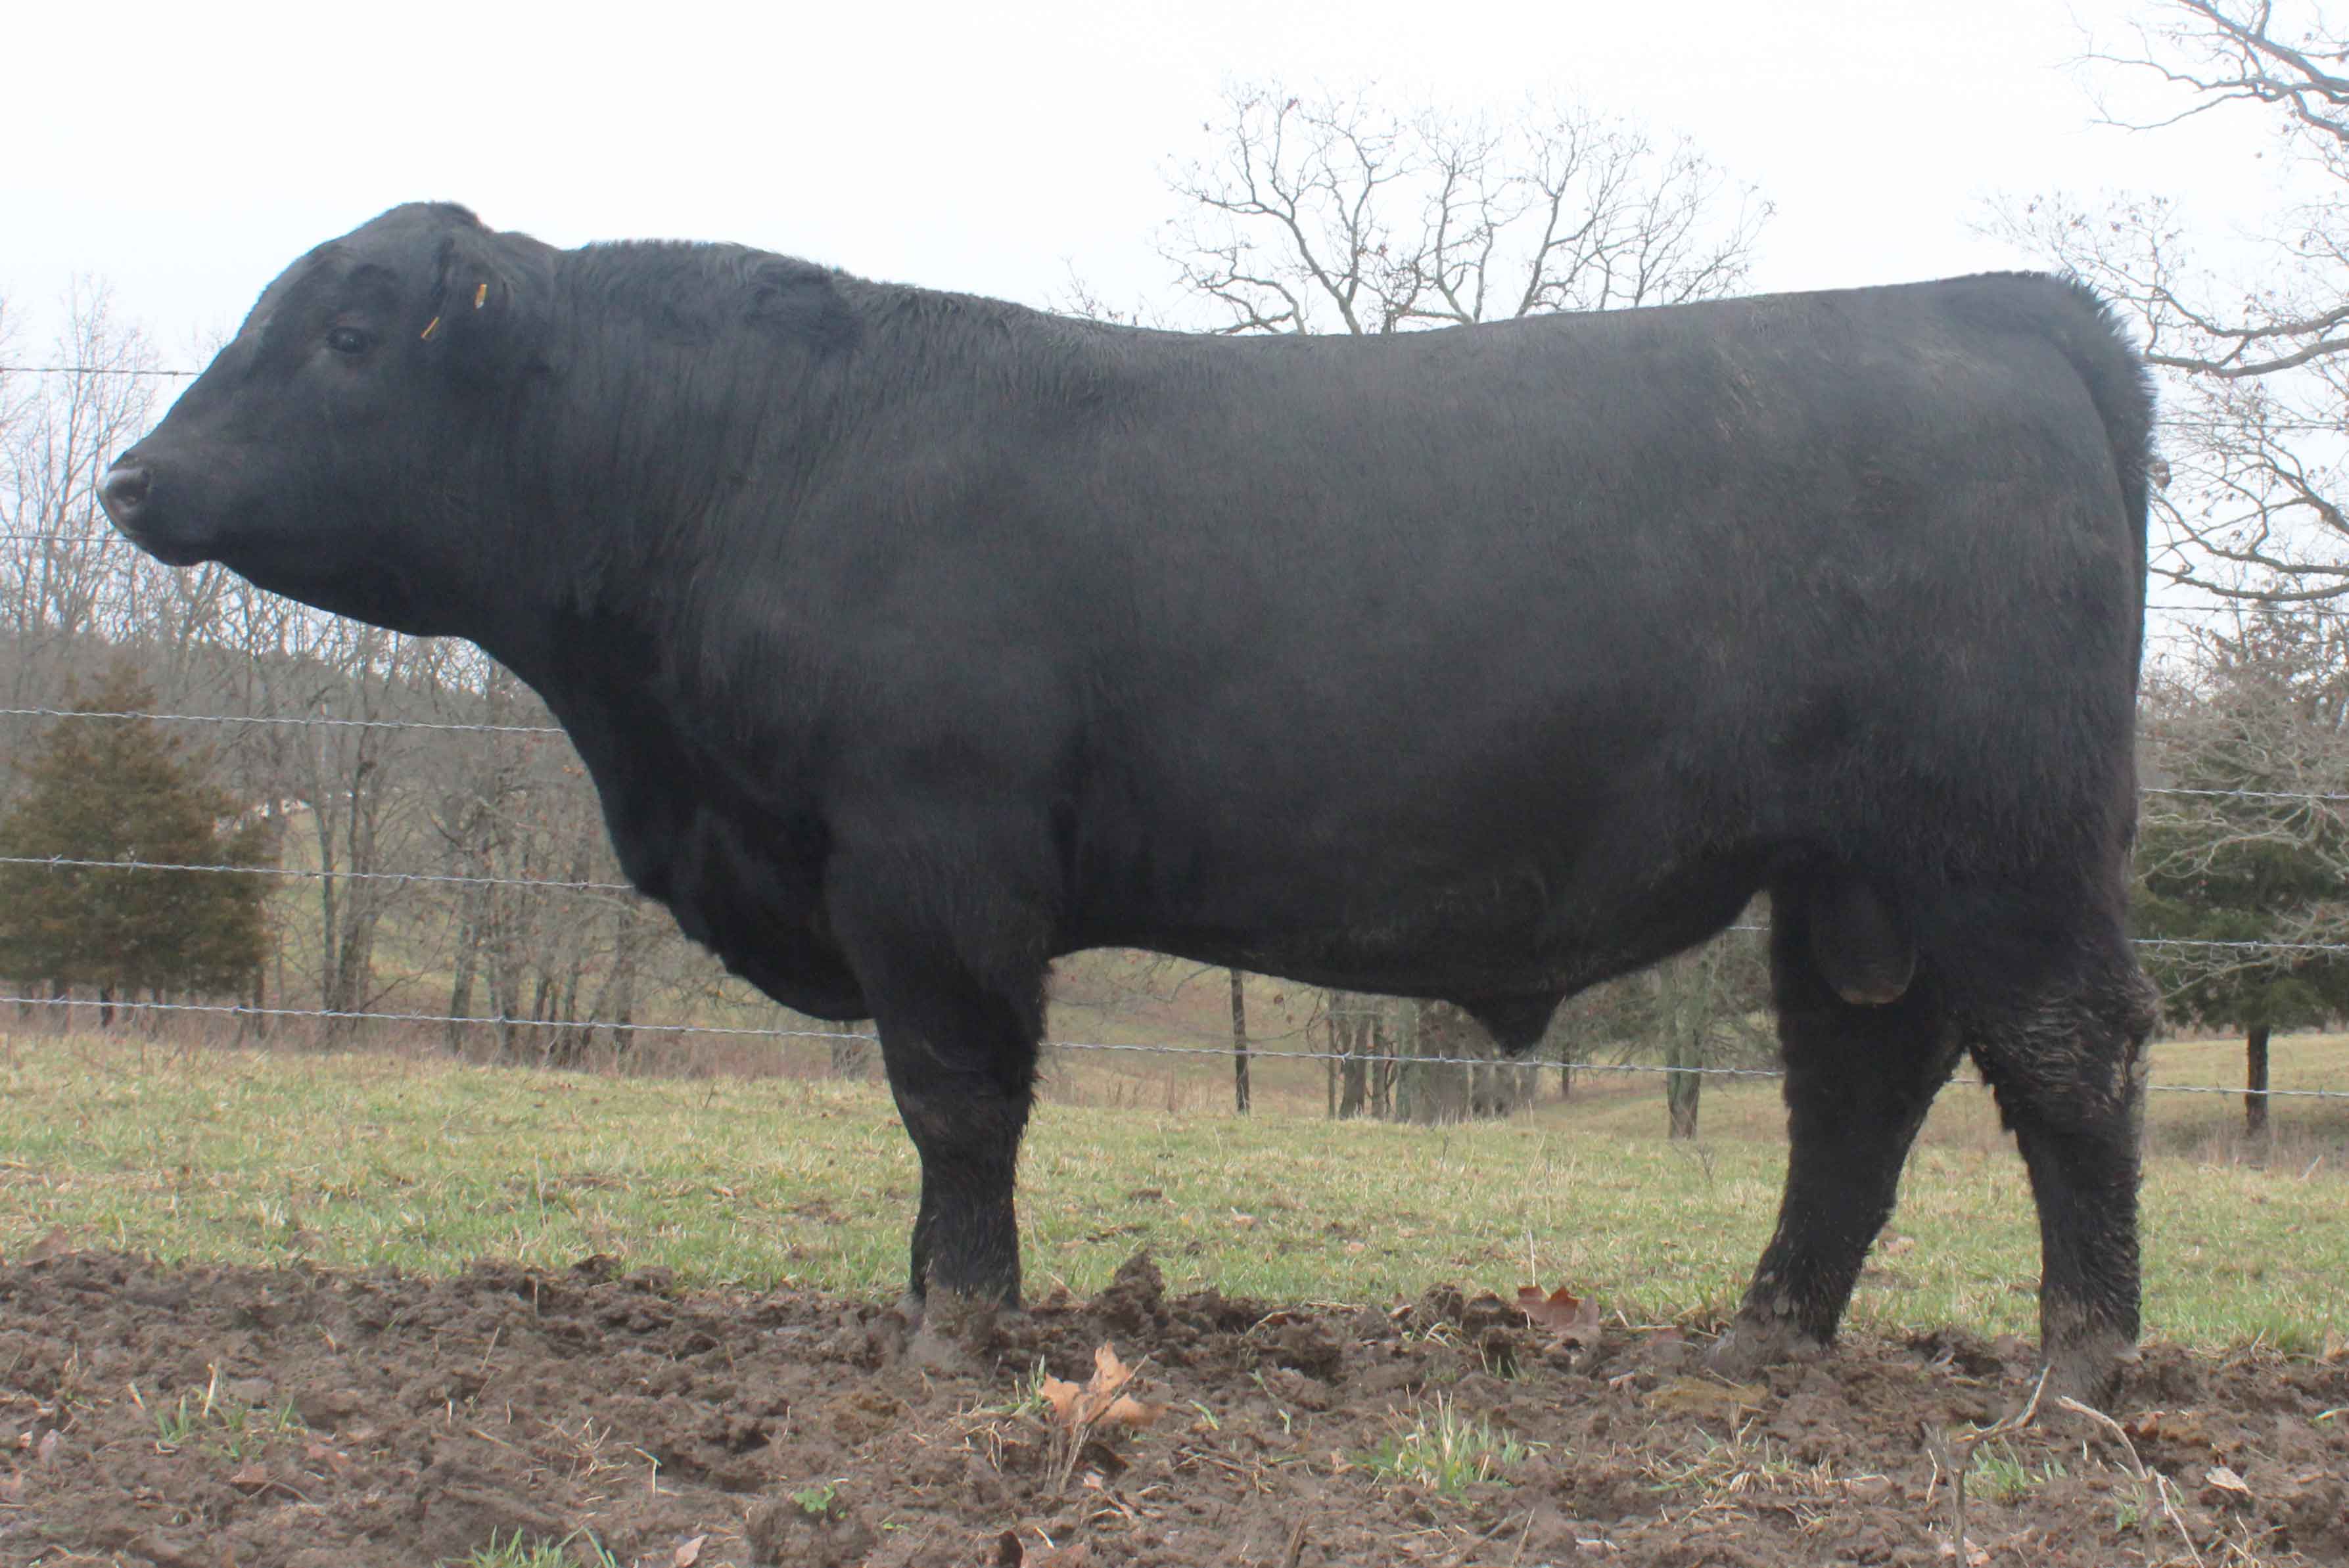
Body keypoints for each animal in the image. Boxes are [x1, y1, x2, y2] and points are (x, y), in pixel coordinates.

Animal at [100, 203, 2159, 1402]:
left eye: (348, 329)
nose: (131, 475)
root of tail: (1997, 304)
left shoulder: (927, 857)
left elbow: (954, 1100)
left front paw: (955, 1333)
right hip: (1852, 874)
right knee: (1857, 1086)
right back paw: (1759, 1337)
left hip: (2001, 840)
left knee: (2067, 1055)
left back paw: (2076, 1370)